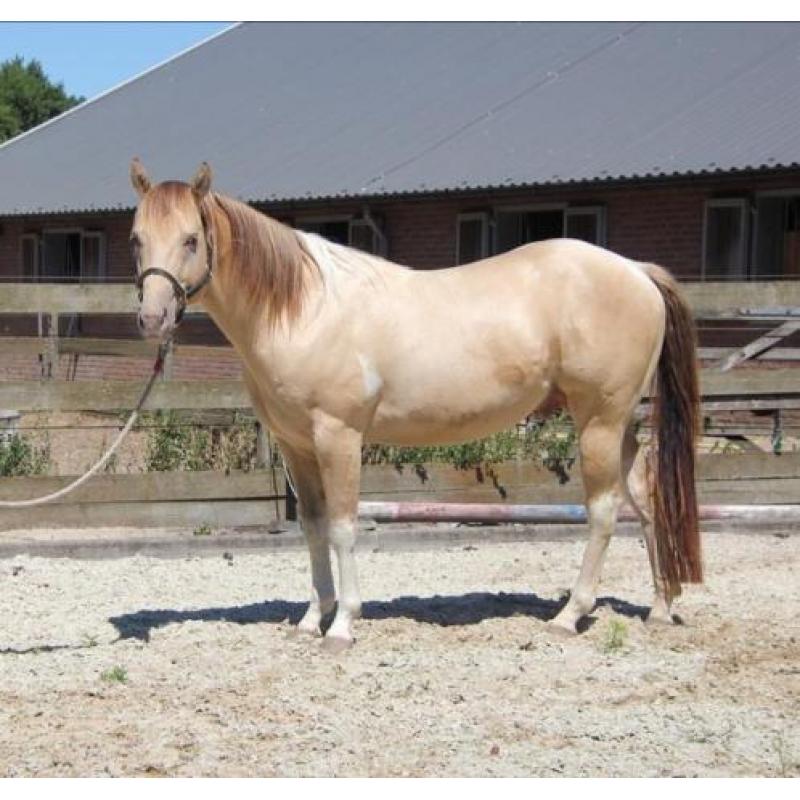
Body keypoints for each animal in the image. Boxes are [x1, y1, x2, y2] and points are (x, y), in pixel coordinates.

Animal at [129, 159, 702, 651]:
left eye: (191, 239)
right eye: (137, 238)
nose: (153, 319)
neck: (307, 310)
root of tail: (636, 271)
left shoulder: (338, 437)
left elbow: (342, 527)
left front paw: (343, 626)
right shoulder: (296, 447)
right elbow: (313, 528)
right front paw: (312, 620)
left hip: (598, 423)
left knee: (603, 513)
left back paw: (568, 616)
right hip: (619, 426)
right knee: (646, 506)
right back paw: (660, 609)